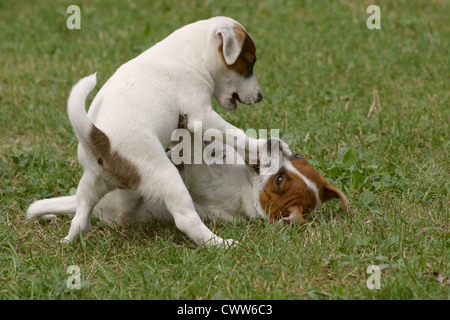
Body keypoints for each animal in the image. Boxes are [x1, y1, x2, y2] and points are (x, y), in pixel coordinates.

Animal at [26, 16, 264, 248]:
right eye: (250, 62)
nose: (260, 97)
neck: (193, 53)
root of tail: (101, 140)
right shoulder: (200, 114)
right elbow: (234, 133)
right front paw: (259, 147)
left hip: (91, 182)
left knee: (80, 219)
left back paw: (67, 242)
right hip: (166, 176)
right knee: (186, 219)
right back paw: (220, 243)